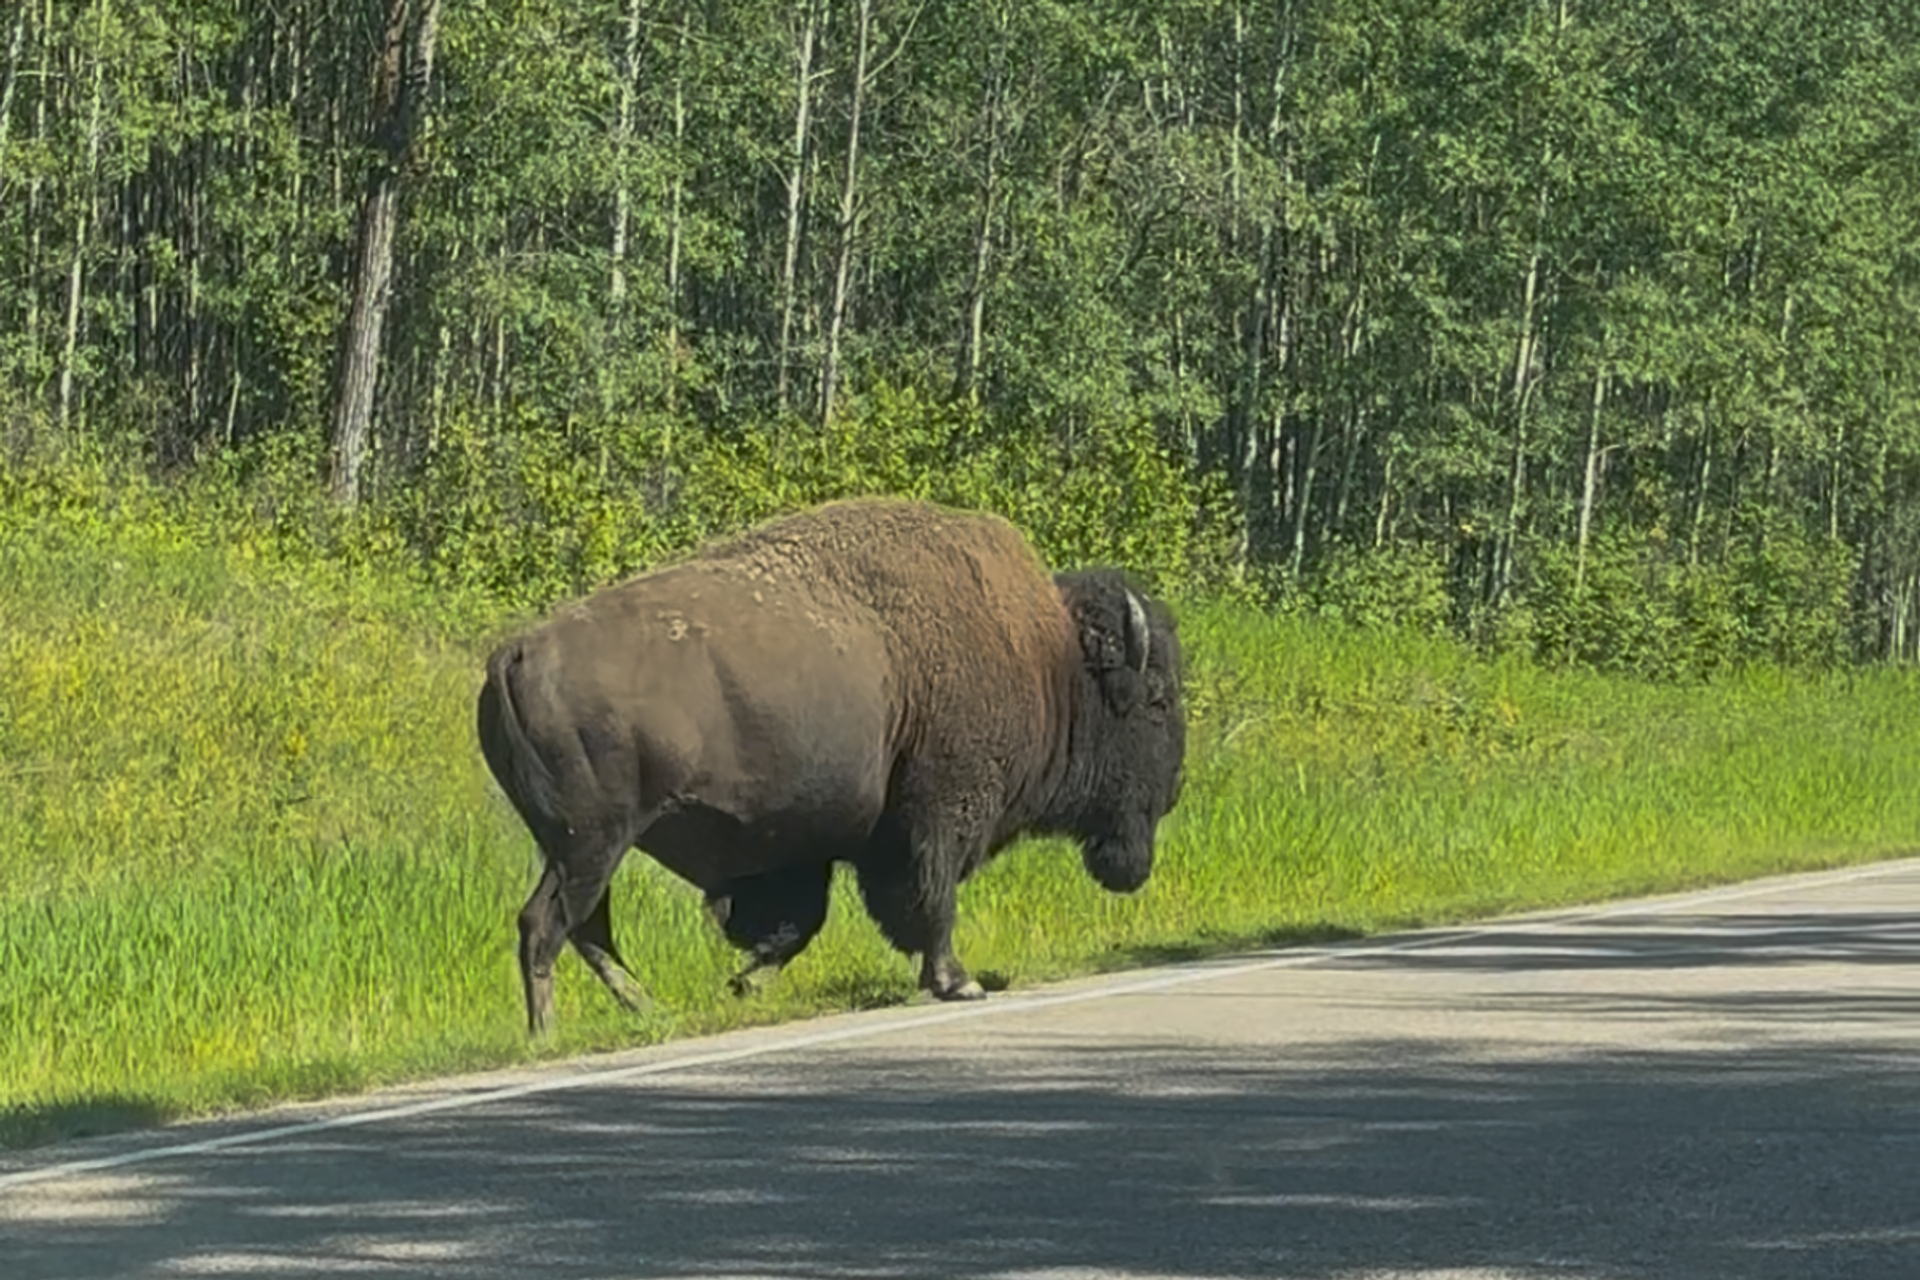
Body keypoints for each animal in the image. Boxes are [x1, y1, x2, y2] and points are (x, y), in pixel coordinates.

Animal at [476, 497, 1187, 1034]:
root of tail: (515, 653)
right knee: (547, 925)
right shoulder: (938, 818)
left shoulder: (815, 846)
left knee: (584, 927)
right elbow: (931, 902)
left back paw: (647, 1009)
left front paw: (745, 982)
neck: (1051, 659)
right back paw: (550, 1032)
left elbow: (805, 922)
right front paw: (958, 983)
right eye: (1155, 699)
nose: (1175, 790)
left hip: (578, 848)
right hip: (591, 844)